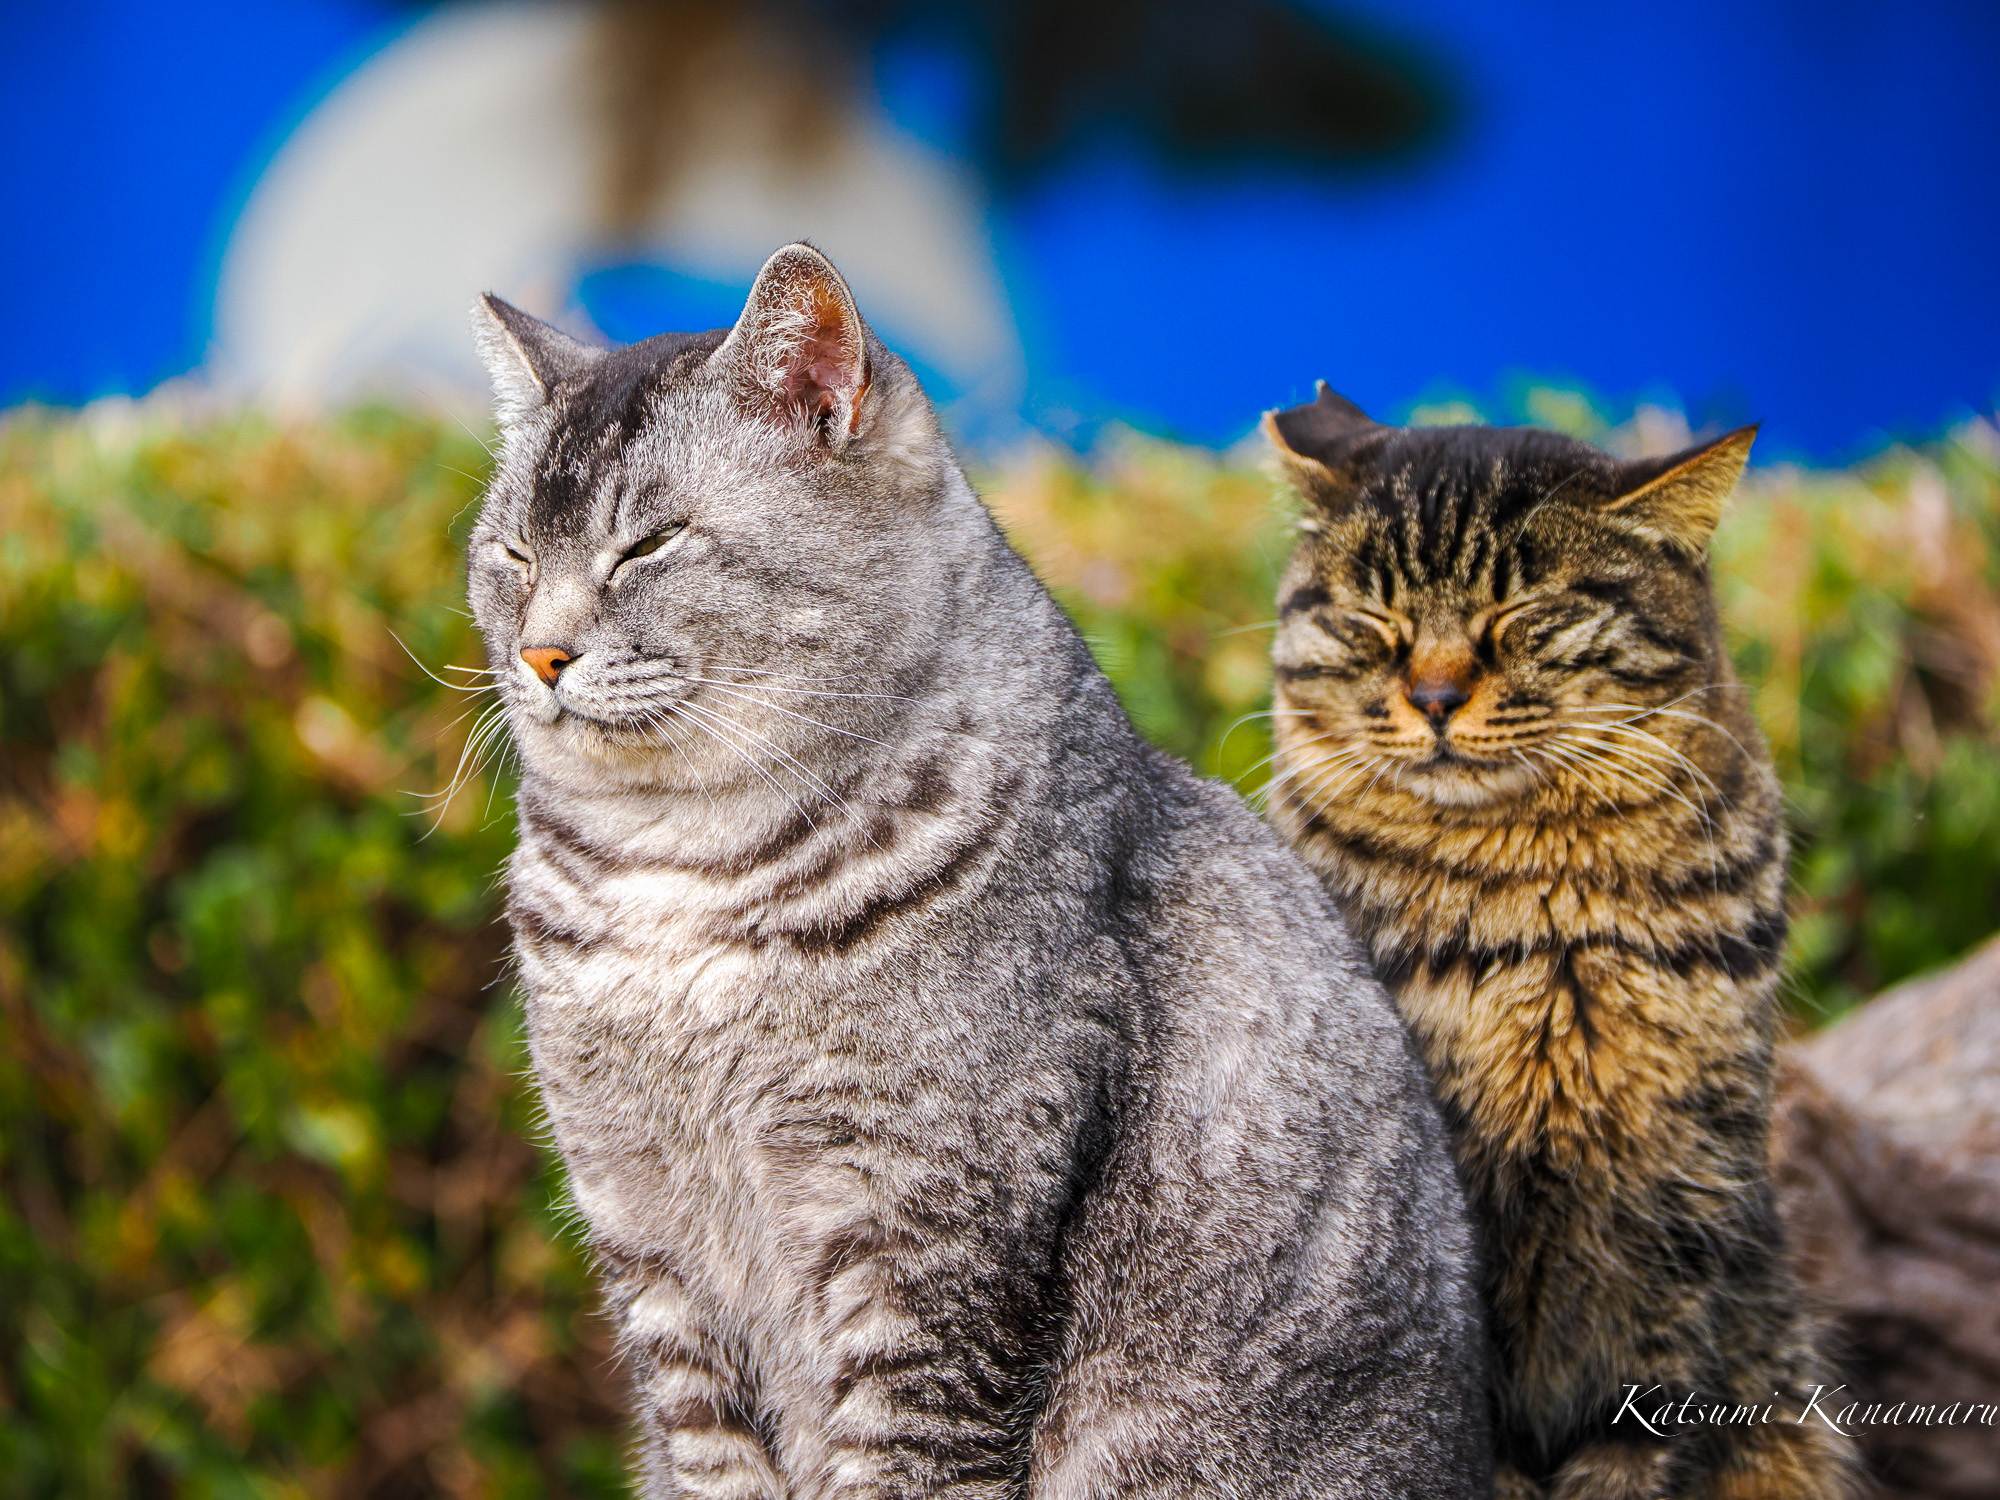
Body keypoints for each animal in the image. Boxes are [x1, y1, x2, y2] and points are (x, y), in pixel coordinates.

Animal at [468, 247, 1496, 1500]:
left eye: (649, 544)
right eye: (513, 557)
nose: (539, 653)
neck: (677, 876)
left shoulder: (933, 1242)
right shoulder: (649, 1239)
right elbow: (711, 1458)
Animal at [1264, 384, 1856, 1500]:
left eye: (1521, 616)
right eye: (1375, 621)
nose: (1434, 698)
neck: (1542, 913)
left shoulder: (1673, 1208)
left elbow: (1632, 1436)